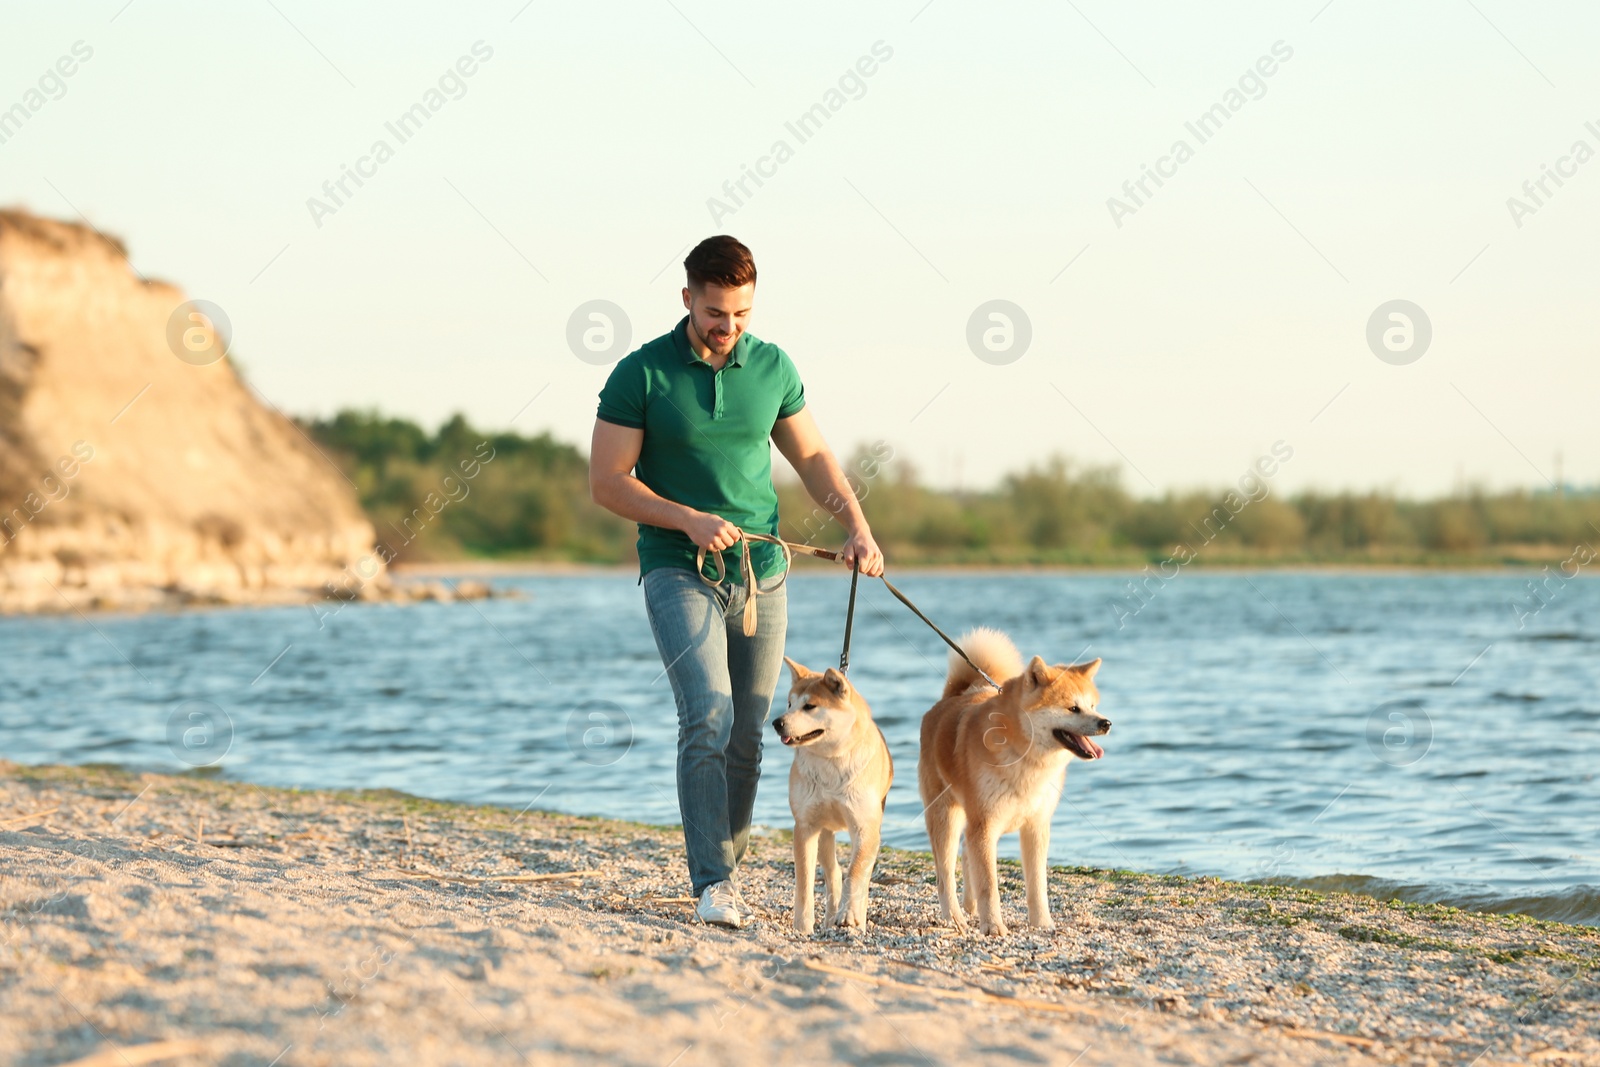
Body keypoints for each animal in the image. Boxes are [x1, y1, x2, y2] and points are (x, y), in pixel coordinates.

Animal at [777, 659, 896, 934]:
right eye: (789, 703)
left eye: (809, 706)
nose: (777, 722)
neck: (830, 761)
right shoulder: (806, 826)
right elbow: (805, 883)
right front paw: (802, 926)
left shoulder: (864, 828)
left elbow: (856, 873)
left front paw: (850, 915)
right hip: (824, 833)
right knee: (833, 874)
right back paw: (830, 917)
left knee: (857, 875)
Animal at [921, 630, 1107, 940]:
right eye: (1073, 708)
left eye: (1093, 706)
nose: (1106, 723)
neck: (1026, 759)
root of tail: (952, 698)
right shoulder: (985, 825)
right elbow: (989, 886)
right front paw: (994, 926)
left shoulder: (1036, 826)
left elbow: (1037, 886)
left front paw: (1042, 924)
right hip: (946, 816)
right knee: (945, 874)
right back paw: (955, 917)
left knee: (965, 855)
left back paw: (970, 907)